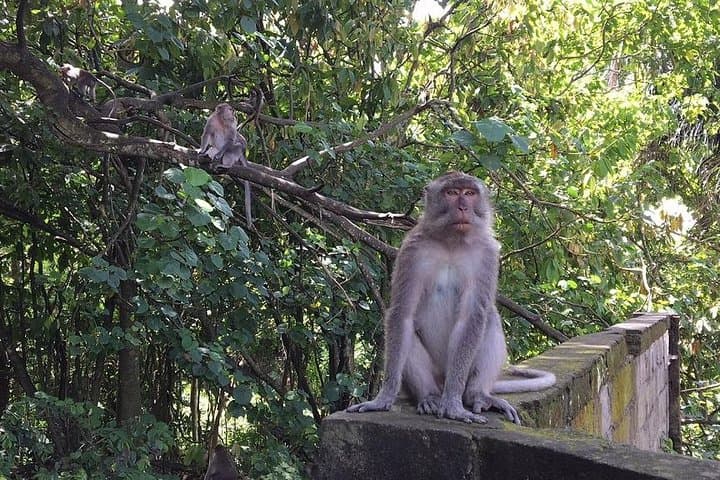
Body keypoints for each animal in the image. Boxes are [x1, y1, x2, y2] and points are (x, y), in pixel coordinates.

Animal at [347, 172, 556, 425]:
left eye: (470, 193)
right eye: (452, 193)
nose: (463, 207)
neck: (452, 243)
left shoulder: (487, 254)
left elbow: (471, 318)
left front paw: (454, 405)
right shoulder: (411, 250)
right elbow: (402, 314)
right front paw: (383, 398)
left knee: (489, 318)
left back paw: (477, 394)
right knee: (407, 330)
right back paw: (429, 396)